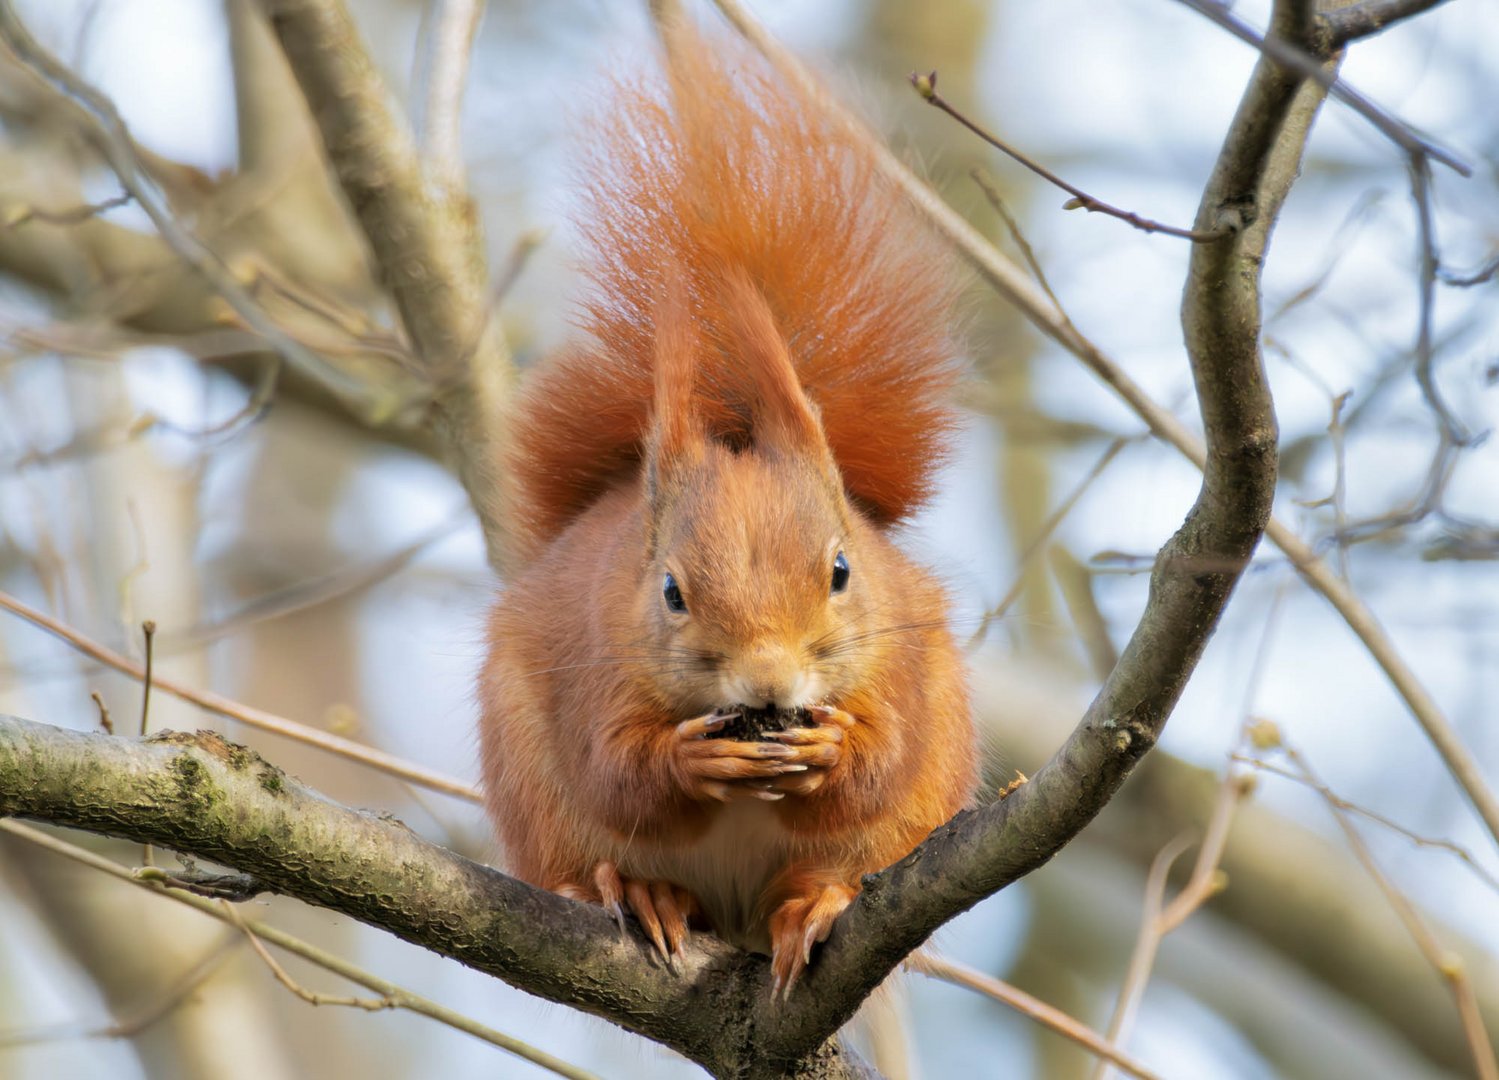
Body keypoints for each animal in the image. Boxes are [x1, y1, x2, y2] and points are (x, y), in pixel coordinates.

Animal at [473, 18, 977, 996]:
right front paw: (689, 758)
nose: (767, 684)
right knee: (594, 852)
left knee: (836, 864)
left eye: (842, 570)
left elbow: (885, 758)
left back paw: (814, 904)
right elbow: (614, 771)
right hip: (530, 787)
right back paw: (644, 894)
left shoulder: (904, 664)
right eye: (670, 592)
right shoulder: (593, 661)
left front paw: (835, 753)